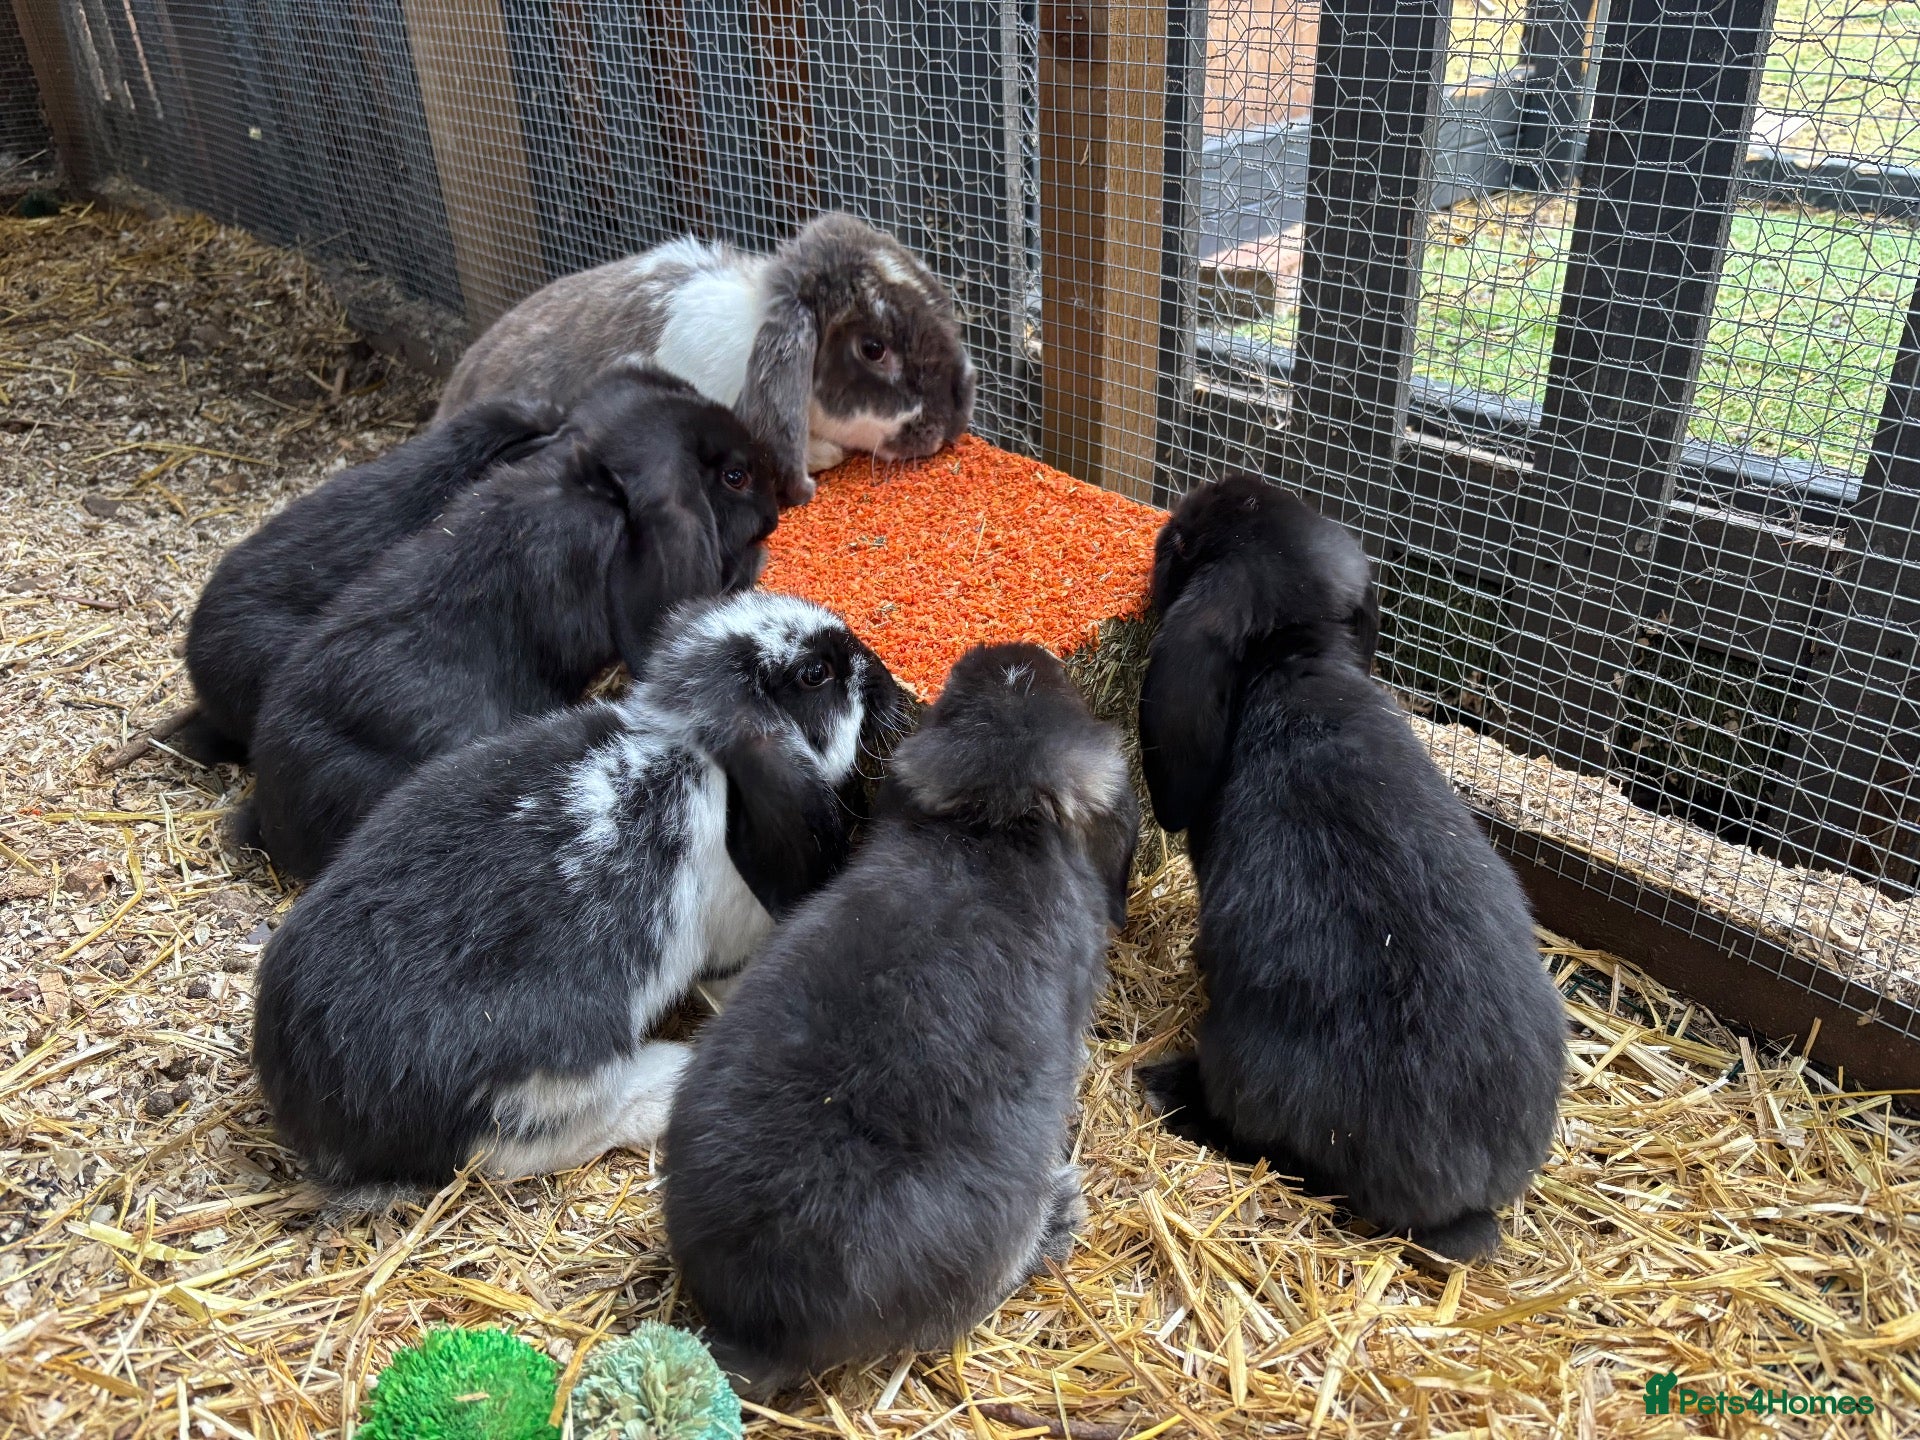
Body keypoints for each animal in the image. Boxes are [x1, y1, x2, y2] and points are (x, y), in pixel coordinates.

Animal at [250, 590, 905, 1195]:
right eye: (815, 674)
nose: (882, 676)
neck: (694, 760)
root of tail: (317, 1107)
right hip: (553, 1078)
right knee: (514, 1148)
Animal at [1133, 474, 1567, 1264]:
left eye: (1181, 543)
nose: (1165, 530)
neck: (1290, 670)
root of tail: (1463, 1190)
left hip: (1250, 1071)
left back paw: (1168, 1090)